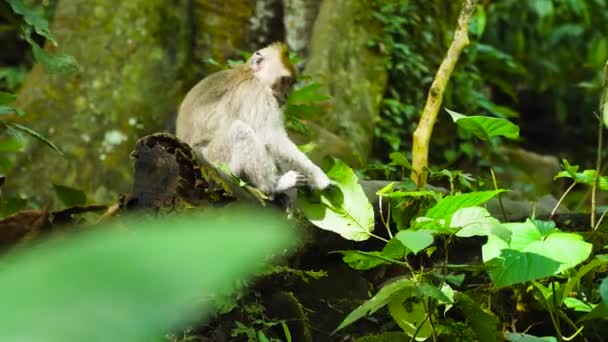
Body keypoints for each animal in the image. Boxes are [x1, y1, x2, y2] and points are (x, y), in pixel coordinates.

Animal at [176, 42, 330, 195]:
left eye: (290, 83)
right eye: (284, 80)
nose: (286, 95)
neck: (250, 73)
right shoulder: (257, 93)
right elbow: (270, 136)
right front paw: (318, 176)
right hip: (215, 159)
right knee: (240, 130)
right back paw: (272, 186)